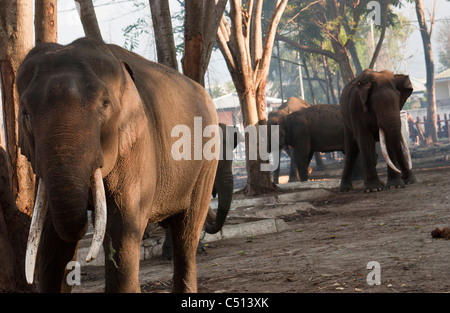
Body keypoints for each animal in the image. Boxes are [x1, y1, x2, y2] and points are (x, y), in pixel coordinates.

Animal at [17, 37, 220, 292]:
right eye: (25, 114)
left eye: (104, 104)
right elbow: (50, 235)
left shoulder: (137, 143)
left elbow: (122, 222)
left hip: (207, 162)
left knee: (187, 230)